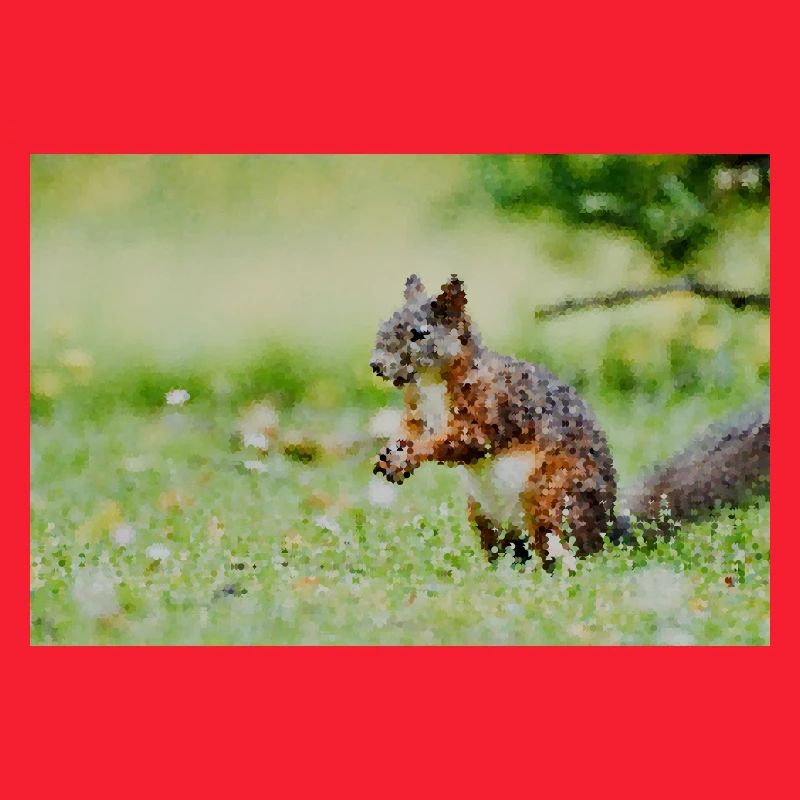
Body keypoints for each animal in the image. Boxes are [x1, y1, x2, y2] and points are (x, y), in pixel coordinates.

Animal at [371, 274, 770, 569]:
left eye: (420, 333)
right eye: (385, 324)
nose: (376, 365)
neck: (432, 385)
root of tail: (607, 530)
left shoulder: (496, 407)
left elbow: (466, 441)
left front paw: (415, 453)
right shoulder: (419, 411)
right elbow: (410, 428)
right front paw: (392, 452)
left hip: (552, 497)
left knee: (561, 548)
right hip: (483, 515)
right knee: (508, 550)